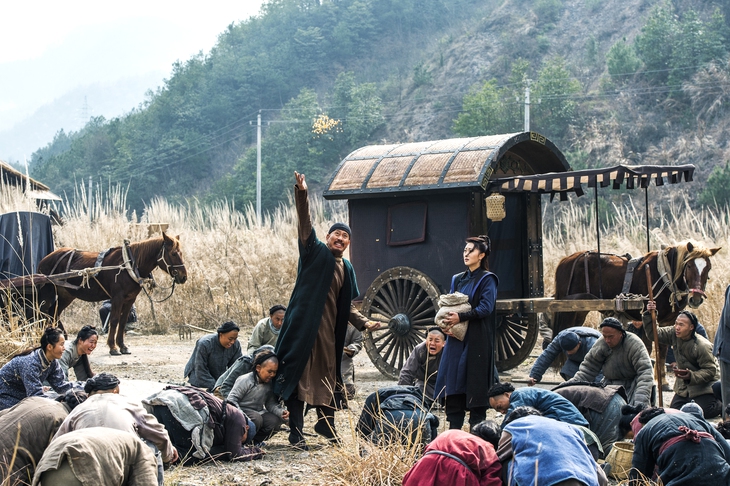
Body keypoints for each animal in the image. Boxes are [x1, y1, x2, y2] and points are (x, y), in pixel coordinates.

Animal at [36, 232, 186, 354]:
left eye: (181, 253)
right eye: (173, 253)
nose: (184, 277)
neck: (129, 265)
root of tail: (44, 260)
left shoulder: (130, 299)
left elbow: (123, 321)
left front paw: (122, 346)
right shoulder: (117, 298)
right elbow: (114, 320)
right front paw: (113, 347)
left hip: (66, 294)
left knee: (54, 314)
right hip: (47, 293)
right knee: (43, 313)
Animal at [556, 243, 720, 334]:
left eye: (708, 268)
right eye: (689, 265)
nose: (696, 299)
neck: (665, 274)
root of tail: (565, 260)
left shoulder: (669, 322)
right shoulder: (649, 317)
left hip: (579, 311)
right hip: (568, 311)